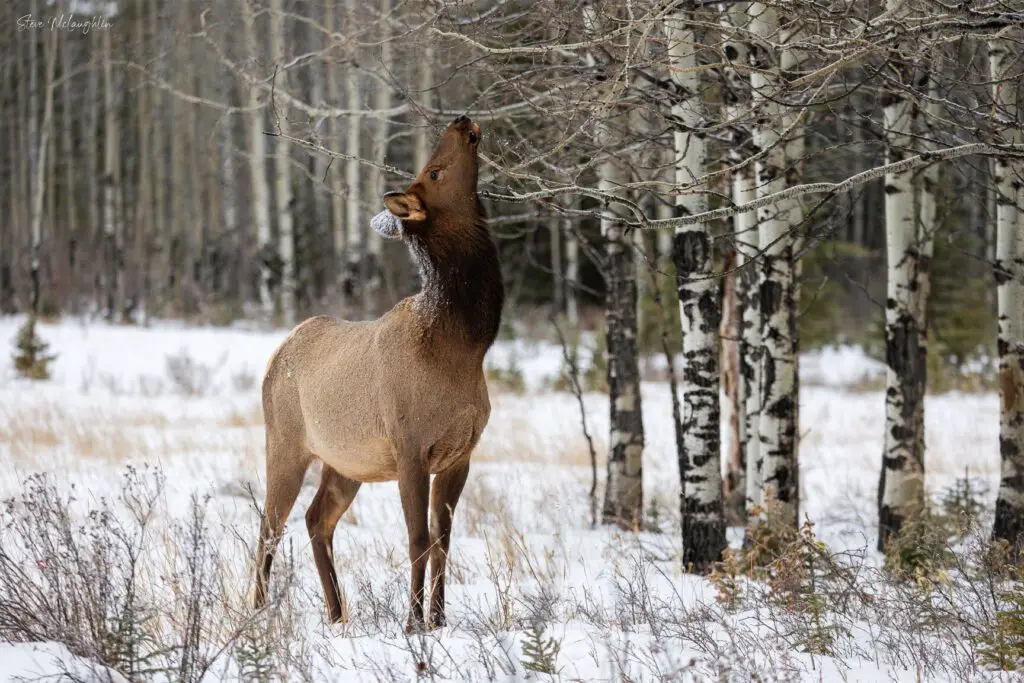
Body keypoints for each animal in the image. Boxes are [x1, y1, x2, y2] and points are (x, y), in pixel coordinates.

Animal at [249, 116, 501, 630]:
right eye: (435, 172)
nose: (461, 121)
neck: (463, 349)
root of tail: (278, 352)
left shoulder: (460, 454)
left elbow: (443, 540)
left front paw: (439, 619)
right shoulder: (410, 449)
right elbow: (417, 539)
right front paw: (413, 623)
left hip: (346, 462)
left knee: (316, 519)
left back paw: (336, 612)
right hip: (284, 442)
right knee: (269, 524)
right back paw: (259, 611)